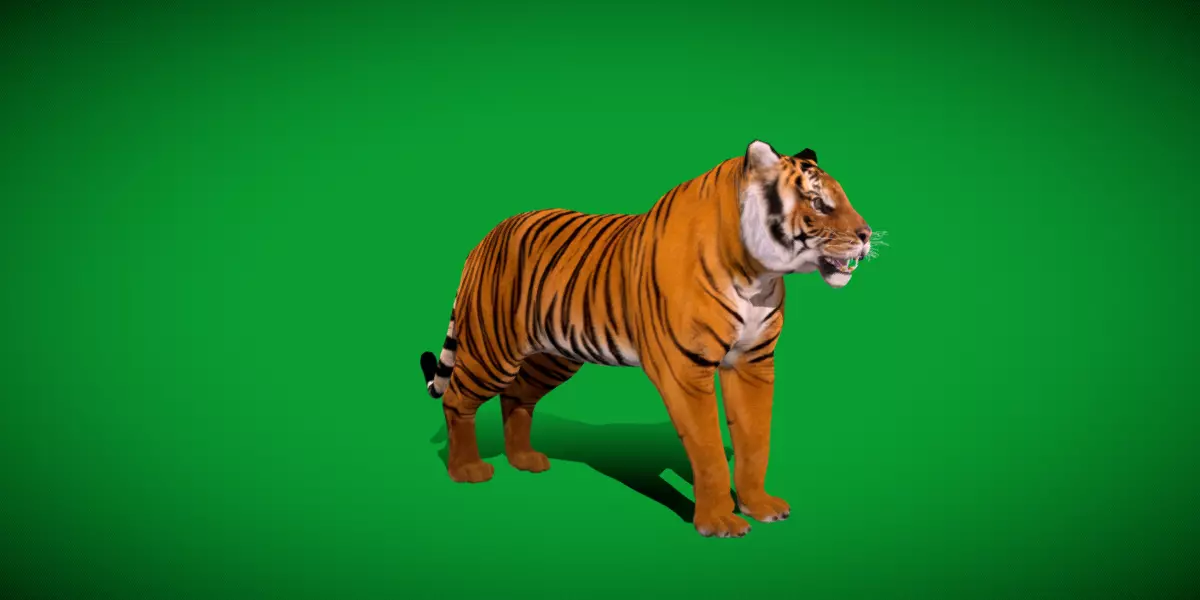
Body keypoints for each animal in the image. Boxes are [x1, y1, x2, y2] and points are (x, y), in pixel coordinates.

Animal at [418, 140, 873, 538]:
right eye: (818, 203)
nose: (868, 235)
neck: (757, 275)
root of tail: (487, 237)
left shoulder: (754, 362)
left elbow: (755, 437)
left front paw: (759, 505)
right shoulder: (685, 369)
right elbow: (709, 449)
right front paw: (718, 522)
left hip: (553, 358)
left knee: (516, 397)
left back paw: (526, 460)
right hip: (493, 351)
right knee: (457, 398)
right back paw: (466, 470)